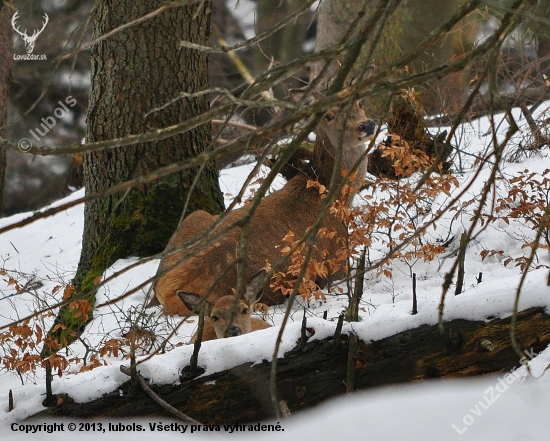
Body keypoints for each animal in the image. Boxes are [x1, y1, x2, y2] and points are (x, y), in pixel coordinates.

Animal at [151, 82, 378, 314]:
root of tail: (168, 291)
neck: (335, 197)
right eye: (329, 116)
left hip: (193, 218)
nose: (366, 124)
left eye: (360, 102)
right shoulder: (337, 263)